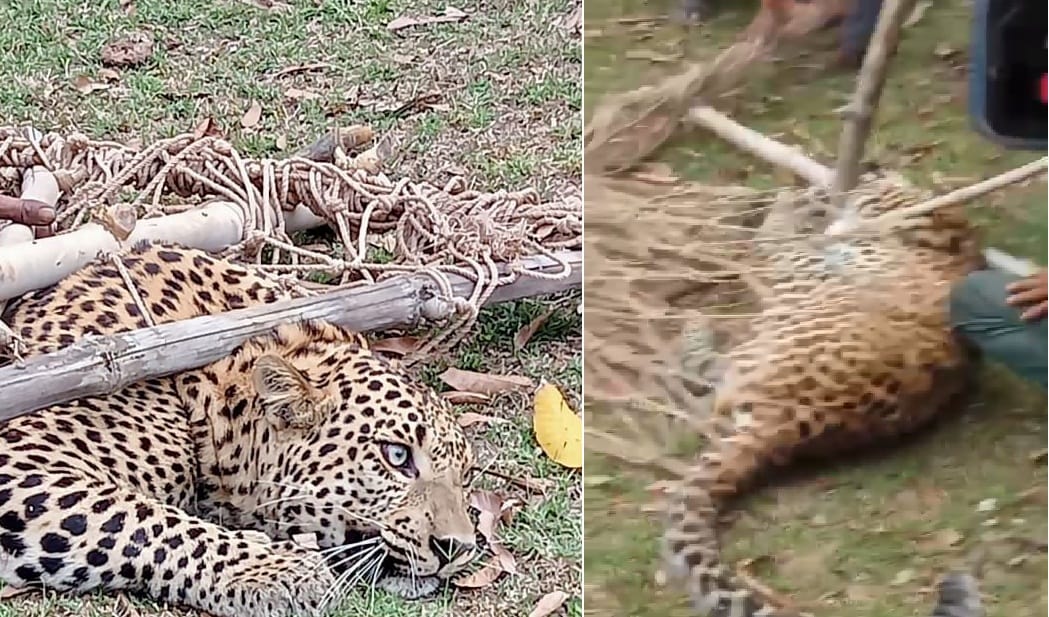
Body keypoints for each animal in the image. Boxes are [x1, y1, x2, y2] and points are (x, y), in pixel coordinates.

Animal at [0, 241, 478, 617]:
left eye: (466, 476)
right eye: (396, 456)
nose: (458, 547)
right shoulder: (23, 458)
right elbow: (143, 518)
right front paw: (276, 569)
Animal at [661, 180, 989, 617]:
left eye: (878, 188)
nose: (867, 172)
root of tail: (784, 424)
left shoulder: (813, 264)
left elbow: (780, 237)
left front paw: (791, 204)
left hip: (782, 320)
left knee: (706, 376)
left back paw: (695, 325)